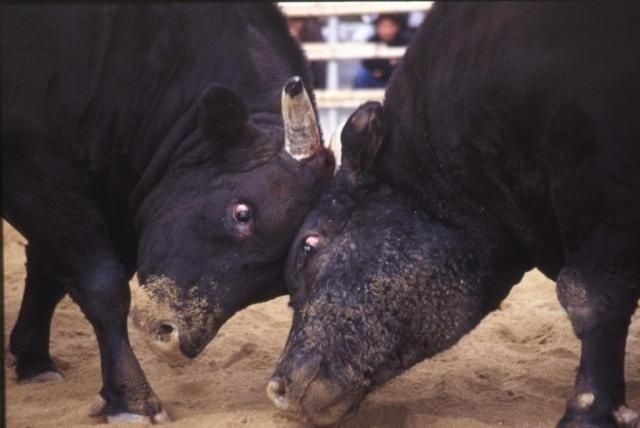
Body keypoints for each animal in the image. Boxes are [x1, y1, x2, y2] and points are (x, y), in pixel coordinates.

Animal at [2, 3, 336, 422]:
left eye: (278, 282)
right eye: (242, 214)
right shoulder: (32, 174)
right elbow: (103, 285)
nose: (172, 338)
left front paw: (34, 361)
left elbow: (50, 276)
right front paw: (132, 397)